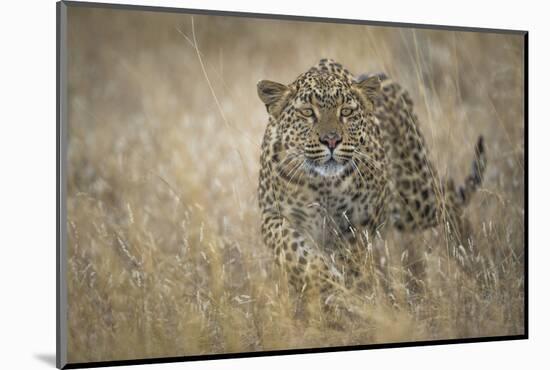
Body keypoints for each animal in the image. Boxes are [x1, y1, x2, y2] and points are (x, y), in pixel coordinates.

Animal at [256, 58, 486, 316]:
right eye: (307, 112)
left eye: (346, 111)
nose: (331, 140)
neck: (322, 184)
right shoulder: (273, 215)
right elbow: (293, 253)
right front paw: (328, 284)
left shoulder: (360, 220)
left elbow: (353, 259)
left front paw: (350, 292)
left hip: (415, 197)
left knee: (448, 197)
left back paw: (467, 252)